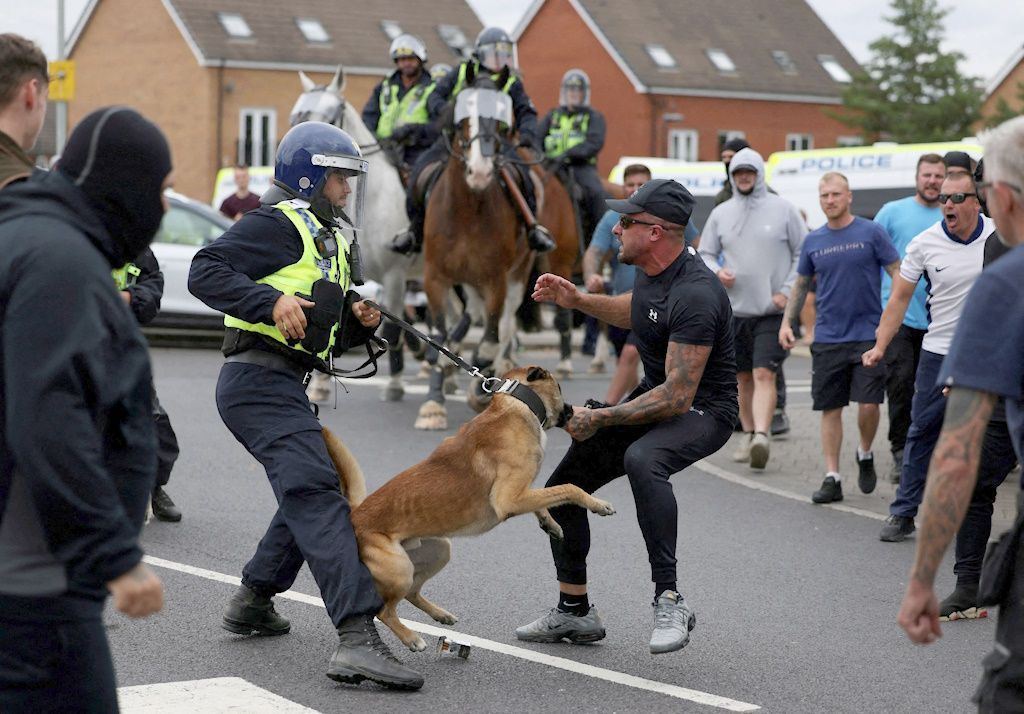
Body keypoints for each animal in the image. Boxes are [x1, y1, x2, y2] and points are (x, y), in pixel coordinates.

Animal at [325, 364, 614, 647]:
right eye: (559, 388)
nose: (575, 410)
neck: (516, 404)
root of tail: (356, 514)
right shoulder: (509, 499)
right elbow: (567, 488)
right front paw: (598, 504)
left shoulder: (522, 494)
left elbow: (545, 497)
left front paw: (550, 523)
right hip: (399, 568)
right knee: (384, 610)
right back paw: (411, 638)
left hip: (439, 550)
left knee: (412, 593)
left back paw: (440, 615)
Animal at [413, 65, 536, 428]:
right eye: (463, 116)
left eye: (502, 123)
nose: (480, 171)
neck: (467, 209)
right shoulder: (435, 278)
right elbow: (439, 338)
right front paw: (433, 404)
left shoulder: (495, 281)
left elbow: (489, 342)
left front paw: (481, 390)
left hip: (515, 277)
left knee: (504, 328)